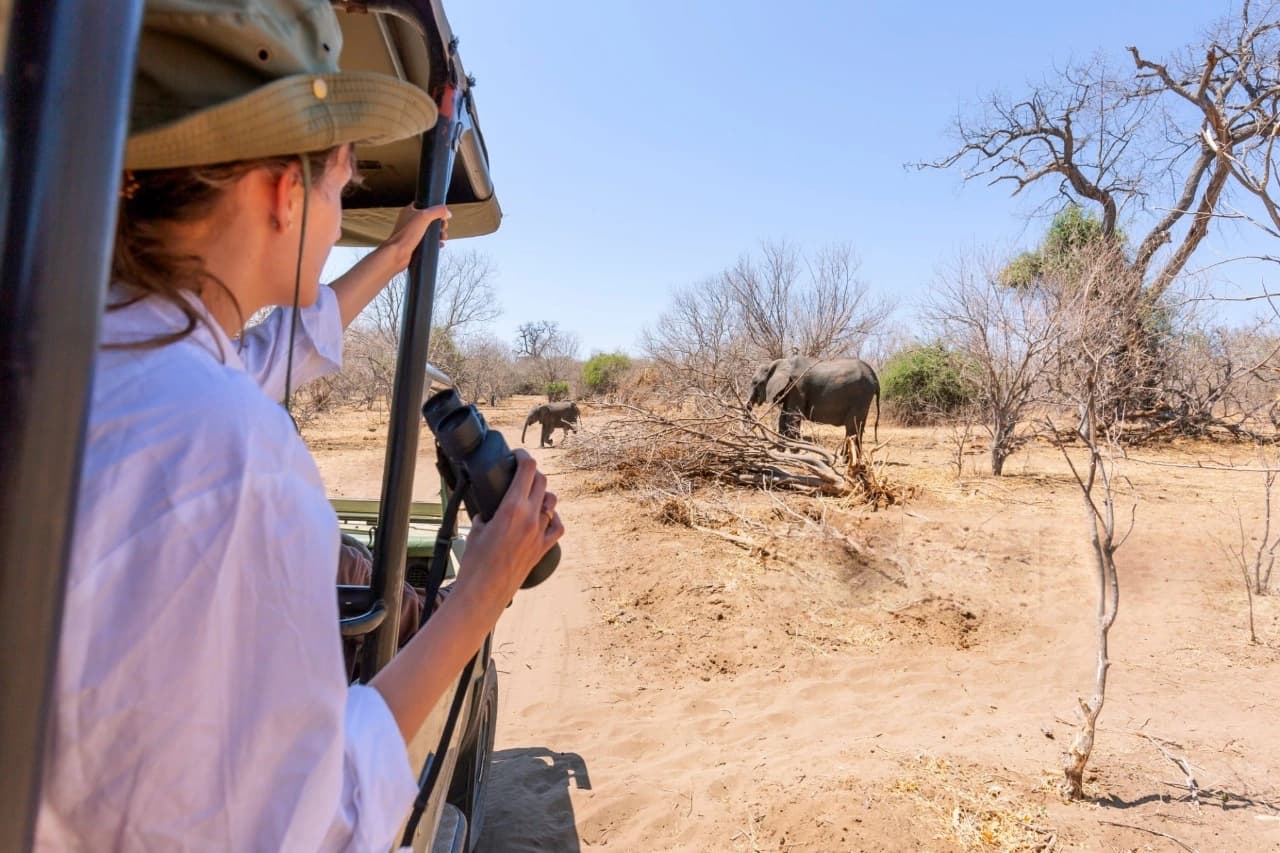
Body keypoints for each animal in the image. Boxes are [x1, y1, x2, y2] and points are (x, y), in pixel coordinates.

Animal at [748, 355, 880, 454]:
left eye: (755, 382)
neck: (780, 362)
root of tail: (875, 377)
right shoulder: (790, 389)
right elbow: (783, 416)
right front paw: (780, 450)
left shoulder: (797, 387)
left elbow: (792, 416)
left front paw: (794, 451)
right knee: (858, 427)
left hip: (860, 396)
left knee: (852, 426)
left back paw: (845, 460)